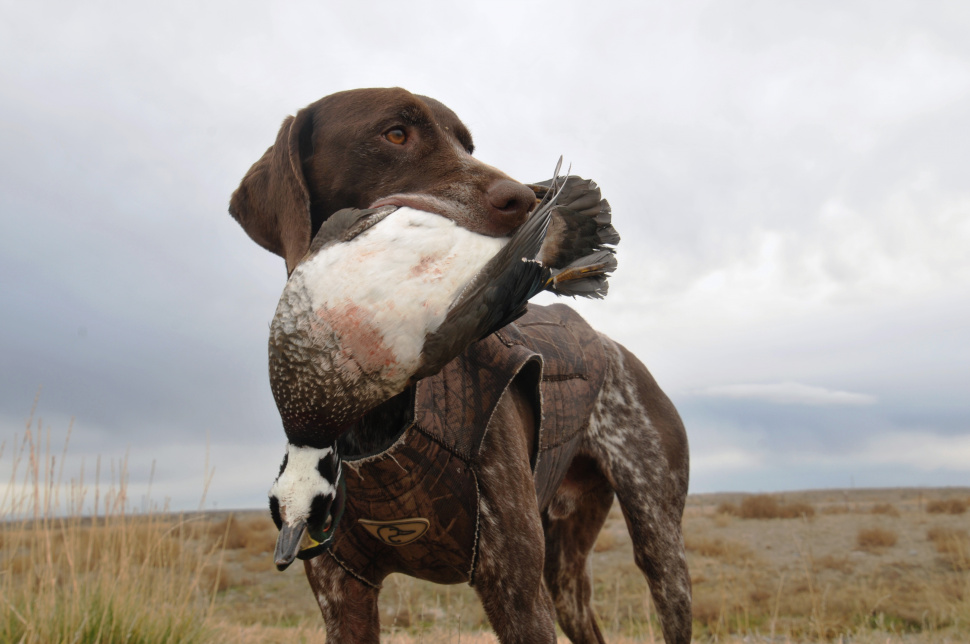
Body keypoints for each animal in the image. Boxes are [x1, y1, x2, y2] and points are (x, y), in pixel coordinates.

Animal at [228, 87, 688, 644]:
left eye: (468, 143)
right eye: (395, 133)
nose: (525, 197)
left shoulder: (515, 588)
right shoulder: (342, 591)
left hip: (658, 549)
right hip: (565, 575)